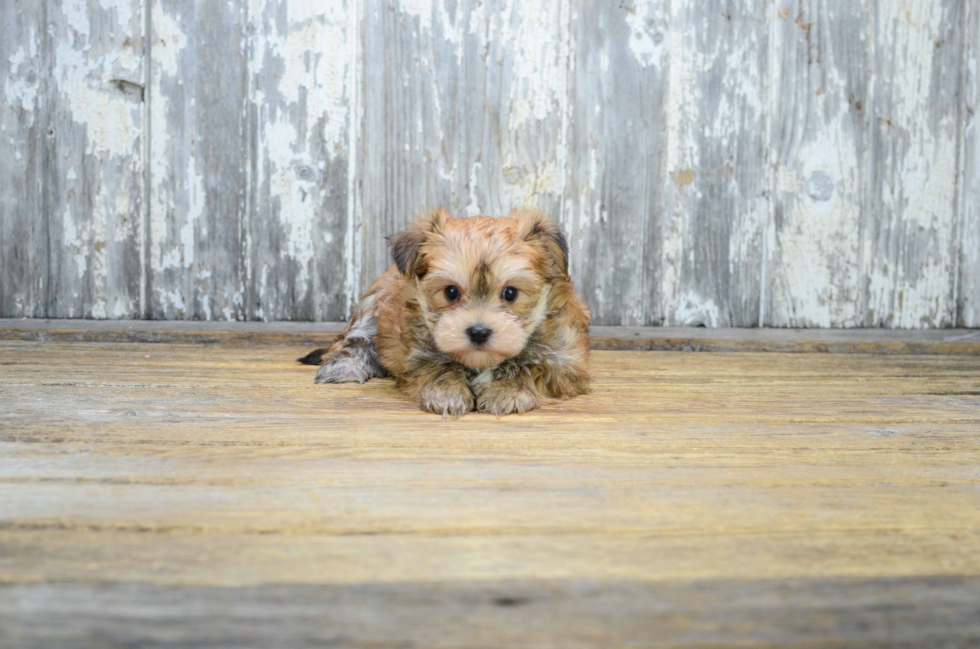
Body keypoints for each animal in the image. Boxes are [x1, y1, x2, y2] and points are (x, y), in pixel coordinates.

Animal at [298, 206, 588, 416]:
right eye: (450, 292)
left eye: (510, 293)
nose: (479, 332)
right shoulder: (416, 353)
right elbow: (437, 367)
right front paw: (447, 394)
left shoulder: (565, 361)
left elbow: (532, 370)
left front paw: (508, 391)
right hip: (374, 304)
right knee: (353, 340)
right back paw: (343, 366)